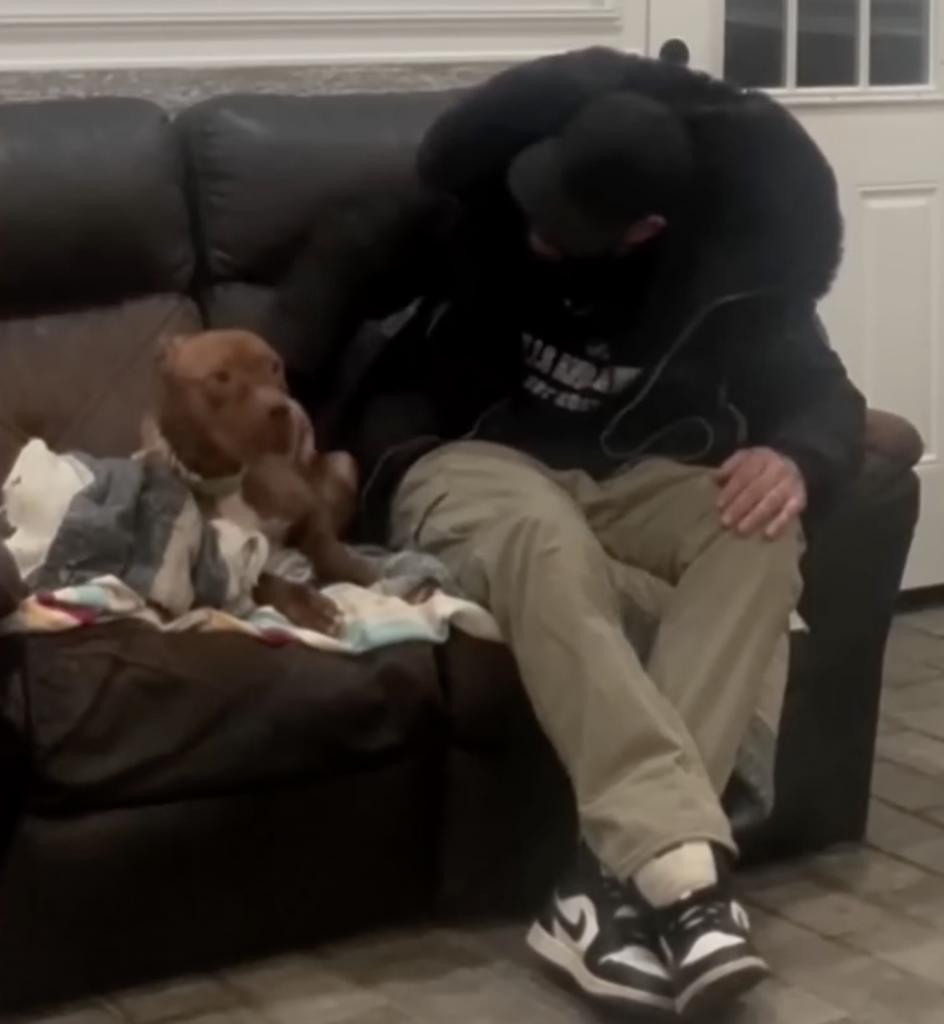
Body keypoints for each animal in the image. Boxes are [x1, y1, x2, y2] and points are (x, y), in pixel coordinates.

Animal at [142, 329, 378, 635]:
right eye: (222, 377)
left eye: (275, 367)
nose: (282, 409)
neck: (228, 479)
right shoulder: (219, 572)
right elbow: (262, 581)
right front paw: (308, 606)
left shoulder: (306, 505)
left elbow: (323, 542)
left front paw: (354, 568)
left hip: (343, 462)